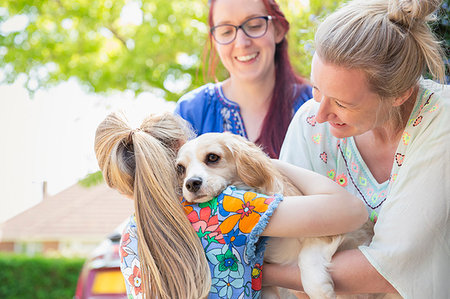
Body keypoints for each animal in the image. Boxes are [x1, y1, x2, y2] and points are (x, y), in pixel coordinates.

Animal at [176, 133, 376, 299]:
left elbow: (307, 256)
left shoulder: (347, 232)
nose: (191, 183)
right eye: (180, 169)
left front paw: (320, 290)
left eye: (212, 157)